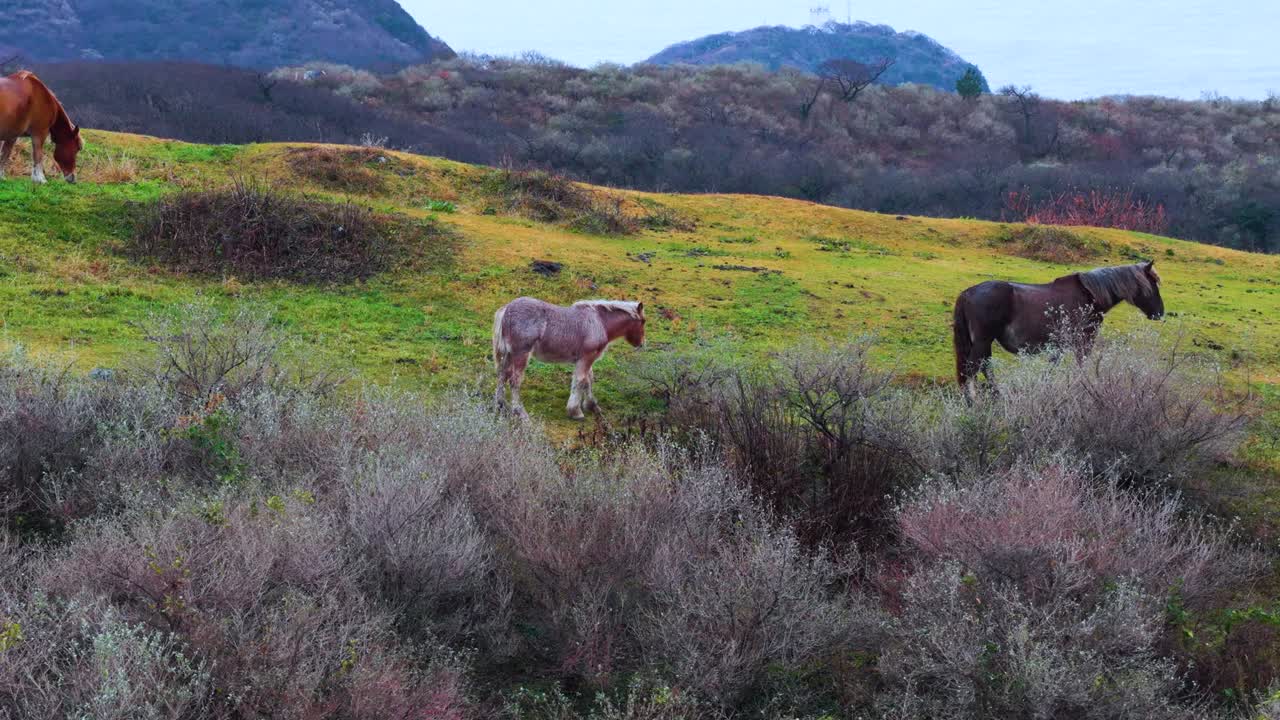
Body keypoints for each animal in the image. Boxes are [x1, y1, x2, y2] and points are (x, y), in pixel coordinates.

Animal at [493, 298, 645, 420]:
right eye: (643, 321)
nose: (641, 344)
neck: (600, 322)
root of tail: (506, 309)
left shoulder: (586, 359)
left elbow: (588, 379)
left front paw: (591, 405)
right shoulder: (587, 357)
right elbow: (581, 380)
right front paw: (575, 411)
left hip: (509, 354)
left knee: (503, 374)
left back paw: (501, 404)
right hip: (521, 354)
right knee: (514, 381)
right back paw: (520, 412)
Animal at [953, 261, 1164, 391]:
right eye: (1152, 284)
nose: (1160, 313)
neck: (1090, 296)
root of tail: (967, 293)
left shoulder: (1059, 346)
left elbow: (1051, 369)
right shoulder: (1083, 341)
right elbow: (1080, 366)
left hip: (984, 344)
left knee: (984, 369)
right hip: (982, 342)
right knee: (972, 371)